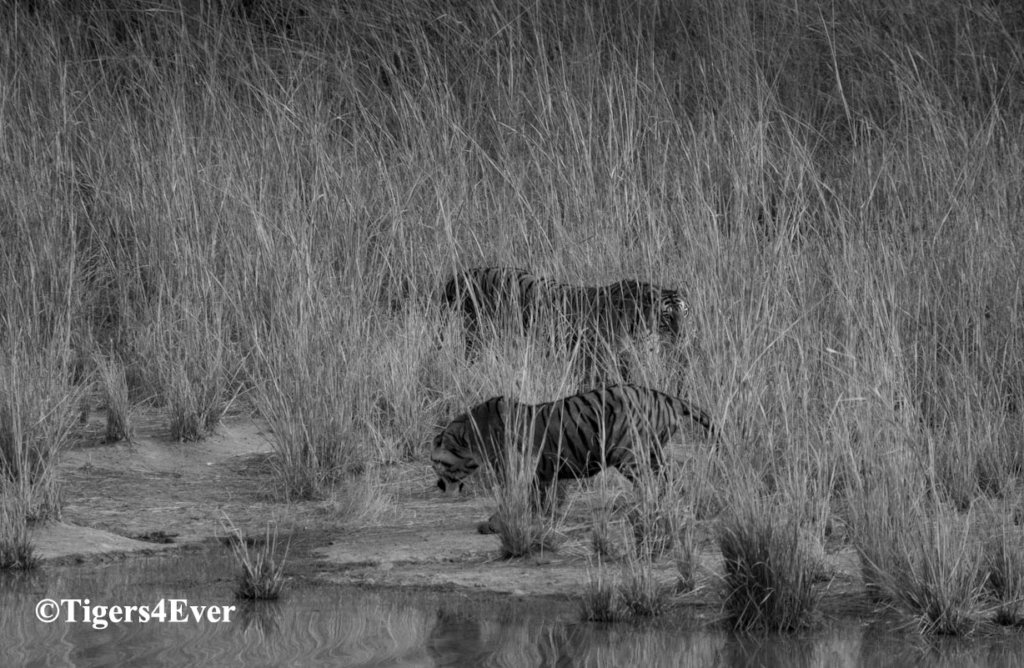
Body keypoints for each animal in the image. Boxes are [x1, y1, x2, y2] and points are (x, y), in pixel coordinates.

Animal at [428, 381, 716, 532]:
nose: (439, 485)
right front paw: (542, 516)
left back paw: (642, 511)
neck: (469, 436)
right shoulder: (541, 472)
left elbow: (514, 495)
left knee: (651, 483)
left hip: (630, 454)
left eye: (434, 464)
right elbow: (540, 496)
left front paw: (496, 522)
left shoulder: (516, 467)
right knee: (670, 480)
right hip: (651, 454)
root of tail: (666, 396)